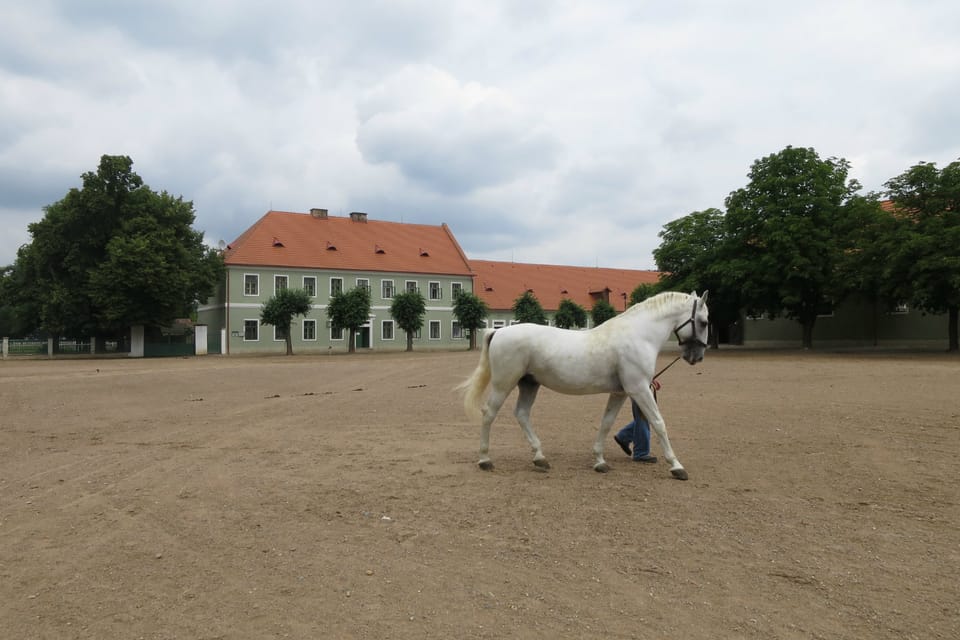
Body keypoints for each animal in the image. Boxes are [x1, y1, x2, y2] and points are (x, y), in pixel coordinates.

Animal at [458, 290, 712, 480]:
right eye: (704, 322)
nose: (697, 357)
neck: (639, 335)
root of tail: (499, 332)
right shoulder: (639, 389)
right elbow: (659, 423)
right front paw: (676, 466)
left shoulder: (620, 392)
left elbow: (607, 423)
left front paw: (599, 461)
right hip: (504, 384)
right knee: (489, 414)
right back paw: (485, 459)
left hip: (529, 384)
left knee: (521, 414)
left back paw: (540, 458)